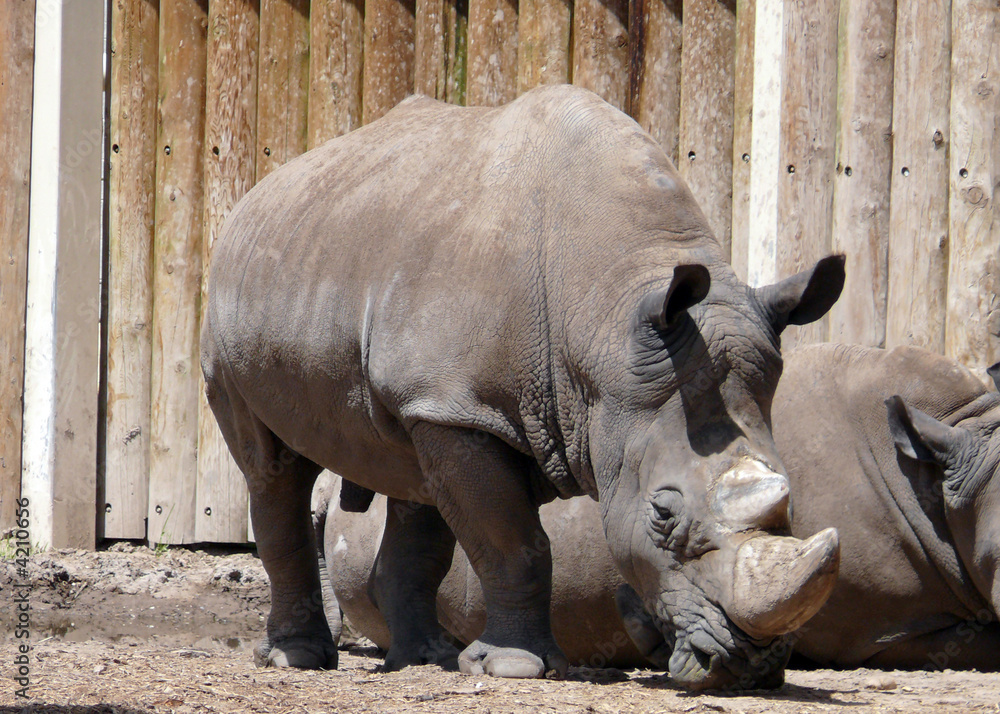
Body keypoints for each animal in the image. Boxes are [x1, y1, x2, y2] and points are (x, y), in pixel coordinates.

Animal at [201, 84, 845, 689]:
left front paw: (489, 662)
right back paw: (297, 659)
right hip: (238, 307)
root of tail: (255, 196)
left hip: (364, 303)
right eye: (663, 513)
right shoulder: (465, 408)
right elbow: (515, 543)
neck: (608, 322)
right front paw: (514, 668)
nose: (751, 665)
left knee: (414, 479)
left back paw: (425, 660)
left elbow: (491, 530)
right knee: (272, 469)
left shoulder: (468, 403)